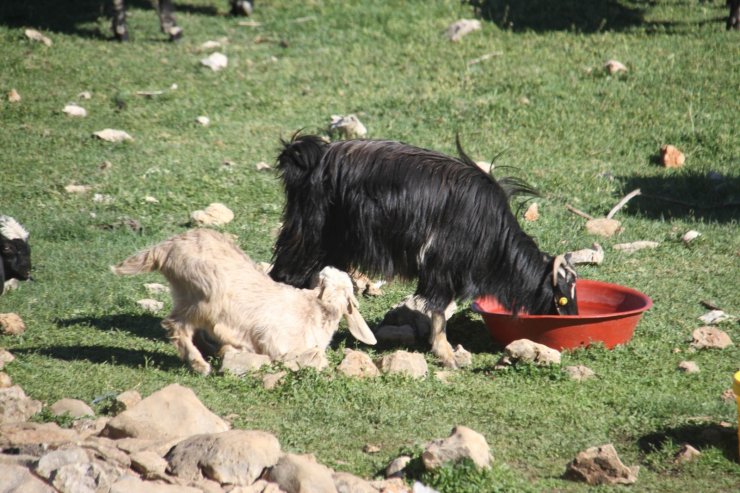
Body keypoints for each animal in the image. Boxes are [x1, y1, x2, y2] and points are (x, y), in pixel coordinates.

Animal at [270, 134, 580, 366]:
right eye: (563, 298)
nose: (574, 320)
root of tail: (311, 157)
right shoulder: (442, 267)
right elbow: (439, 311)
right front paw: (446, 355)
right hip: (309, 237)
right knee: (284, 274)